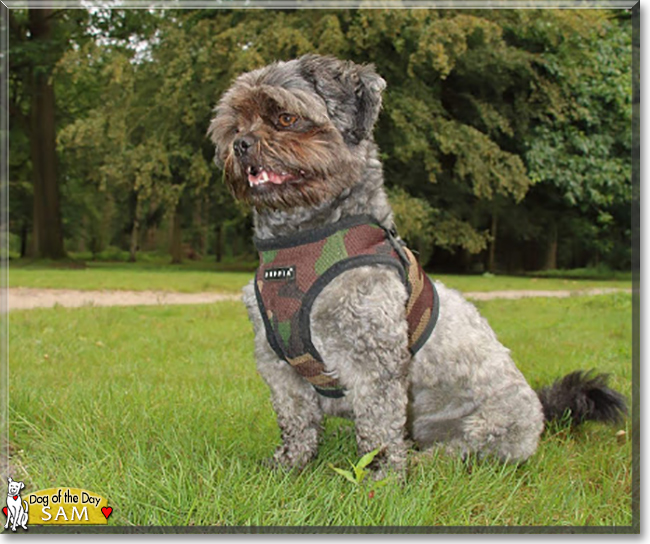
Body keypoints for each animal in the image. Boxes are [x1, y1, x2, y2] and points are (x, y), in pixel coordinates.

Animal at [208, 55, 624, 478]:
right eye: (236, 123)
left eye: (285, 118)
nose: (240, 144)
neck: (297, 247)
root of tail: (540, 411)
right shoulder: (277, 363)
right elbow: (297, 420)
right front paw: (289, 464)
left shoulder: (373, 358)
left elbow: (378, 426)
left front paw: (381, 476)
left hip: (496, 425)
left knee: (465, 449)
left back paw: (425, 461)